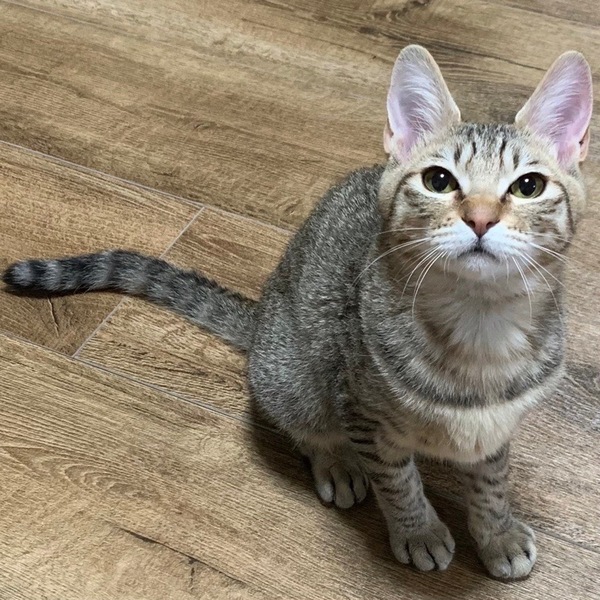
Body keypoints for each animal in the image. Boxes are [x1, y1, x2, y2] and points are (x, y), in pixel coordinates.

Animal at [3, 45, 592, 580]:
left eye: (529, 186)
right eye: (439, 181)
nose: (481, 218)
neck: (479, 322)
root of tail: (264, 314)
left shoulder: (498, 428)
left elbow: (492, 480)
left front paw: (497, 532)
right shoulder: (359, 407)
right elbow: (398, 481)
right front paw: (418, 530)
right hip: (294, 378)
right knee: (304, 423)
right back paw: (336, 462)